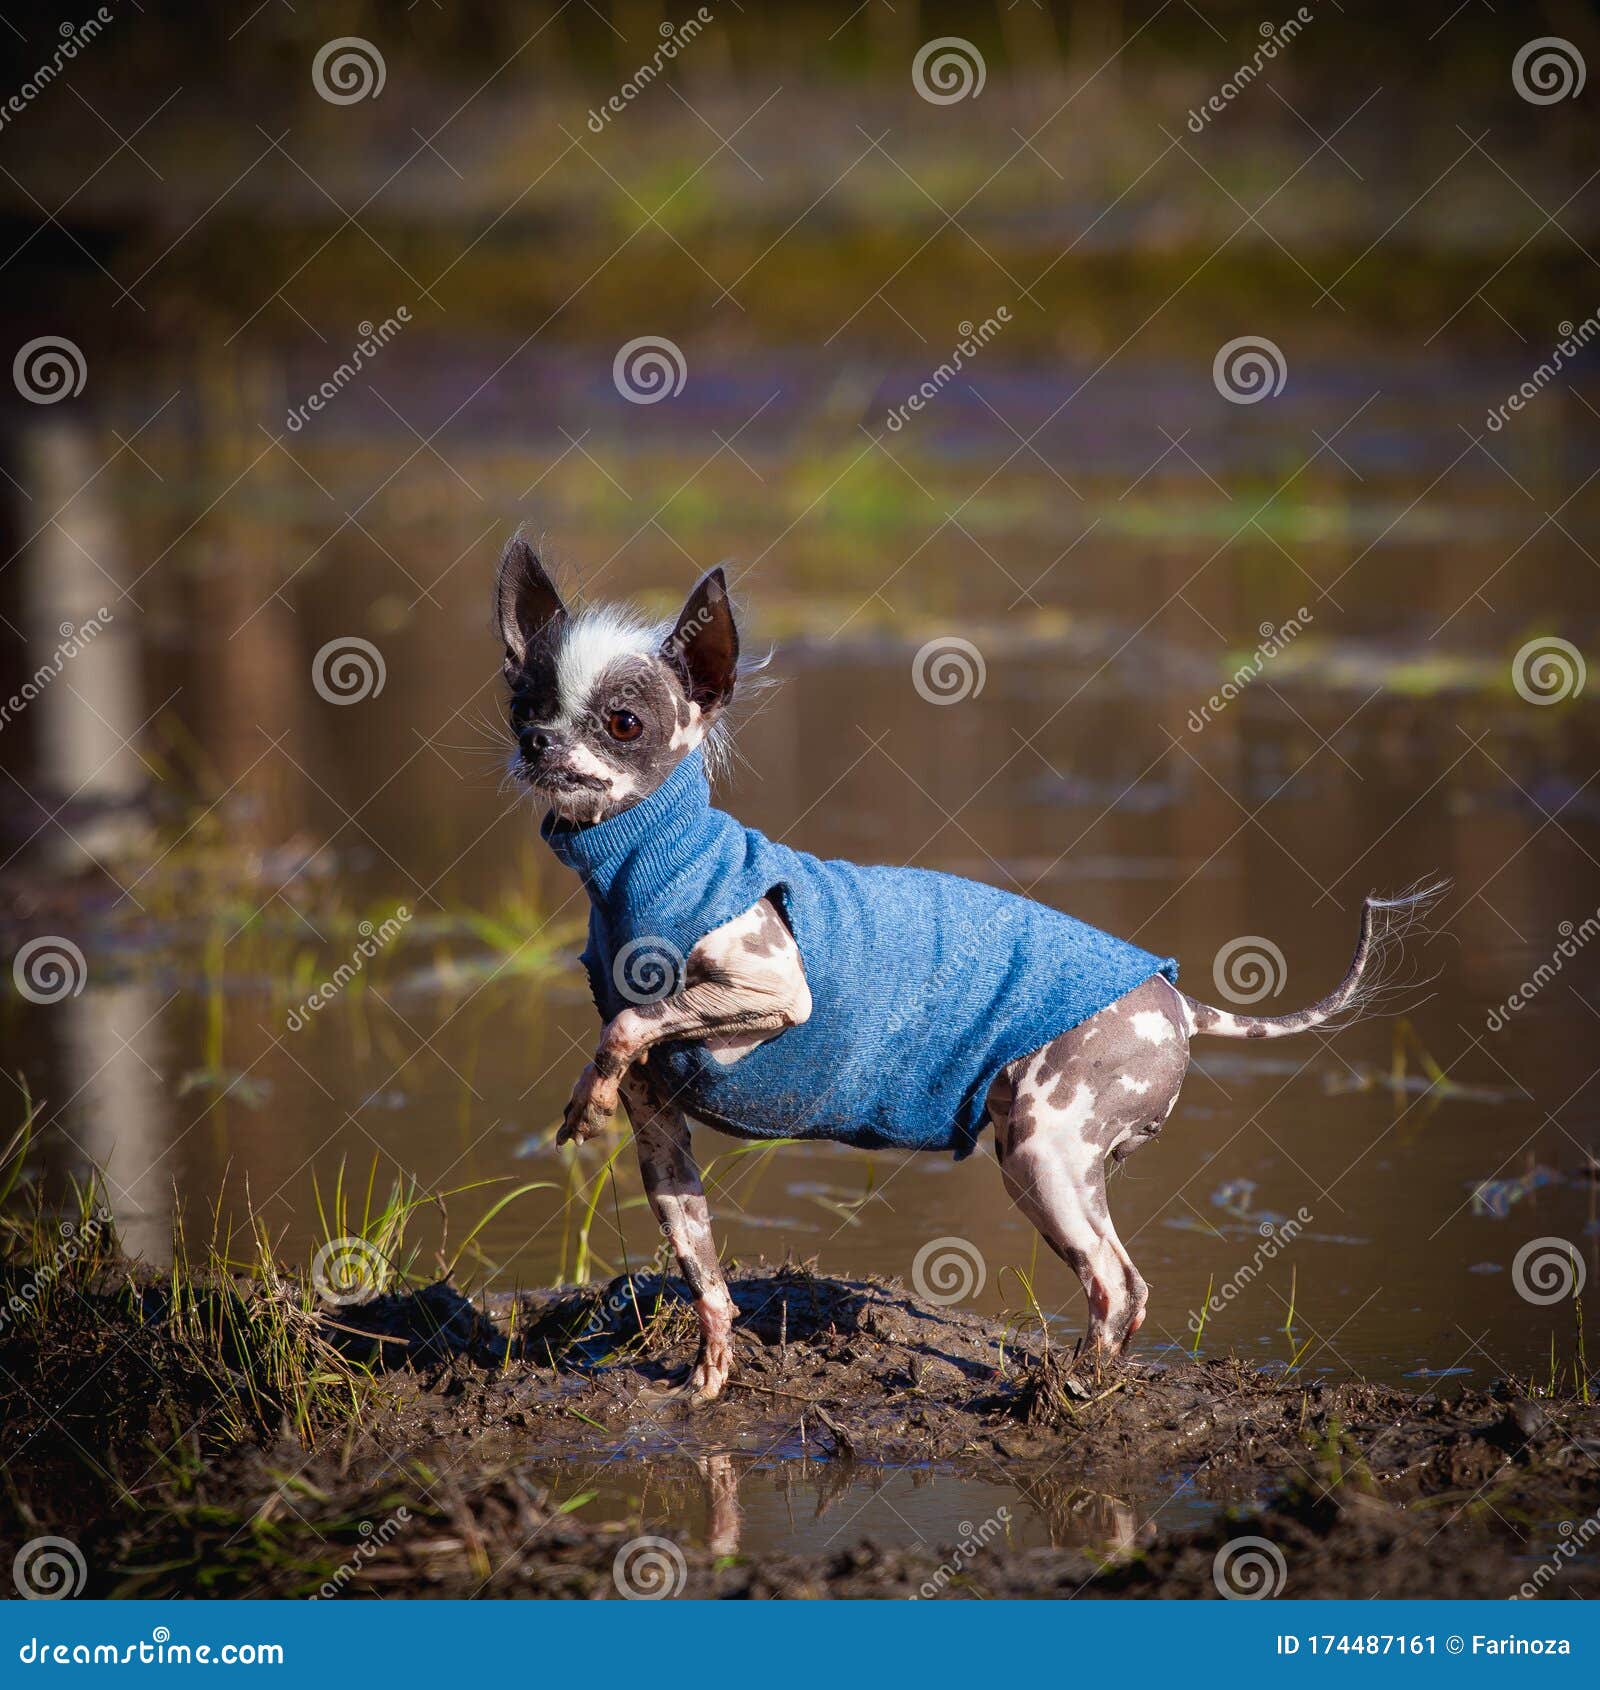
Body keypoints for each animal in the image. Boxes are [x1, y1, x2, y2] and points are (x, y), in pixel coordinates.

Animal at [496, 537, 1425, 1399]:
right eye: (523, 705)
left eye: (624, 721)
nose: (538, 741)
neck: (647, 865)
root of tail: (1178, 1001)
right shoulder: (664, 1141)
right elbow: (707, 1279)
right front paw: (709, 1379)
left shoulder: (776, 993)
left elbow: (632, 1018)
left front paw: (587, 1096)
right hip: (1053, 1161)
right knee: (1120, 1280)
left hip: (1045, 1153)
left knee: (1117, 1283)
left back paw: (1065, 1394)